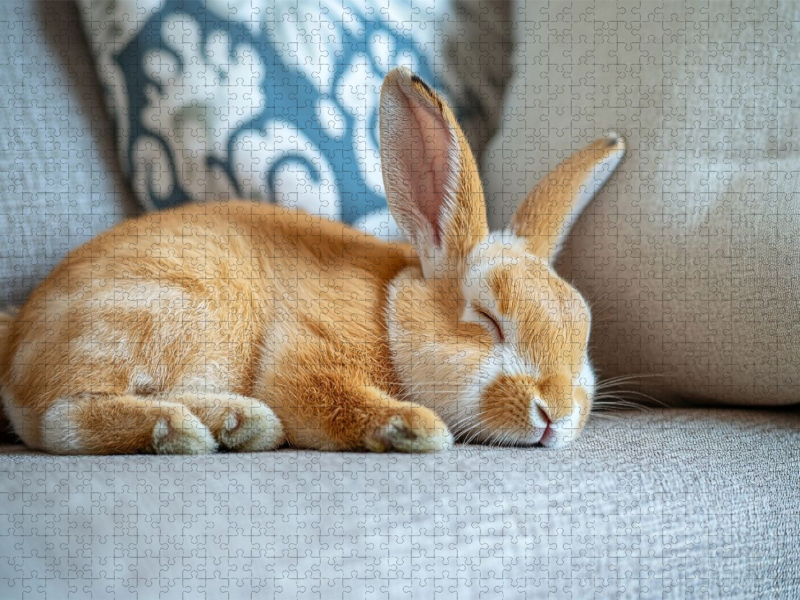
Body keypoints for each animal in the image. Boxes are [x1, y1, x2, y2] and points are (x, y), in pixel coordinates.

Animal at [0, 66, 625, 455]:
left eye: (584, 333)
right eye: (488, 320)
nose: (556, 413)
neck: (387, 314)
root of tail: (18, 336)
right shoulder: (306, 349)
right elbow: (328, 396)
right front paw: (414, 428)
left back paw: (239, 424)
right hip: (156, 313)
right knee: (59, 420)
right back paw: (180, 430)